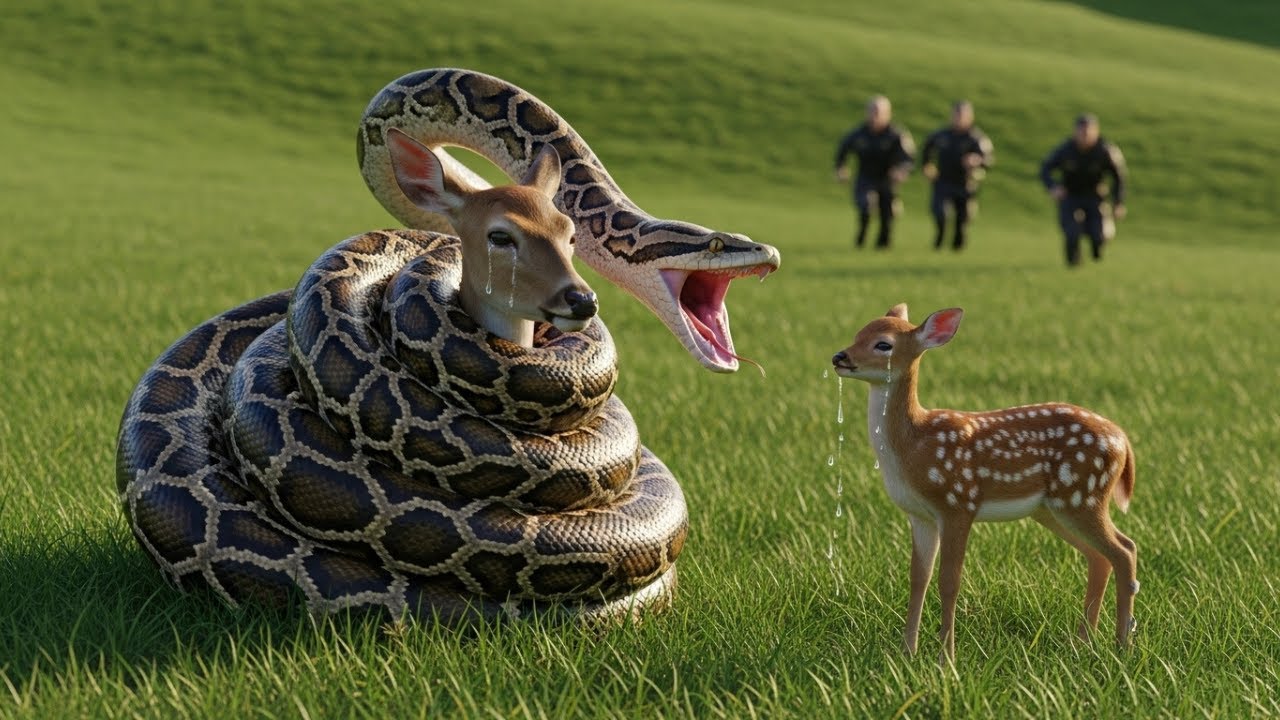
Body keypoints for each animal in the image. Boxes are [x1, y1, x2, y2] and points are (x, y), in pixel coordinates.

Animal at [831, 304, 1138, 664]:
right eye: (858, 333)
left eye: (883, 344)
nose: (839, 357)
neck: (914, 446)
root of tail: (1123, 440)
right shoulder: (919, 515)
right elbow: (918, 578)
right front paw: (907, 653)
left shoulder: (957, 502)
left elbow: (949, 581)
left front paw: (945, 659)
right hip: (1054, 508)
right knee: (1100, 557)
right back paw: (1082, 643)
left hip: (1083, 495)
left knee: (1124, 550)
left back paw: (1122, 644)